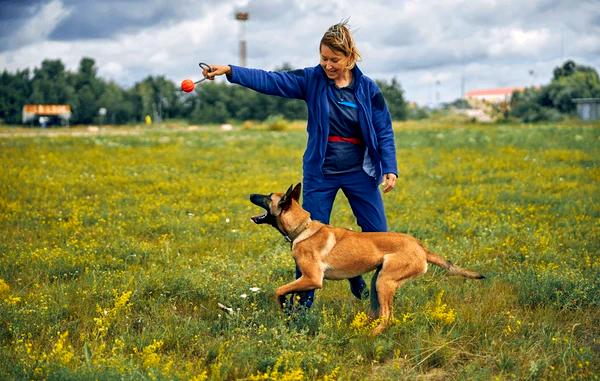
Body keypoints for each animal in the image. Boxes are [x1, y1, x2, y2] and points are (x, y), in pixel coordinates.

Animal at [251, 183, 486, 334]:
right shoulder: (305, 279)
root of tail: (420, 247)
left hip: (384, 282)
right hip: (378, 280)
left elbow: (279, 290)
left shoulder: (312, 279)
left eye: (267, 196)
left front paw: (284, 309)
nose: (250, 195)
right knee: (380, 312)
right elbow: (292, 294)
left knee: (387, 316)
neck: (302, 228)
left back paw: (370, 335)